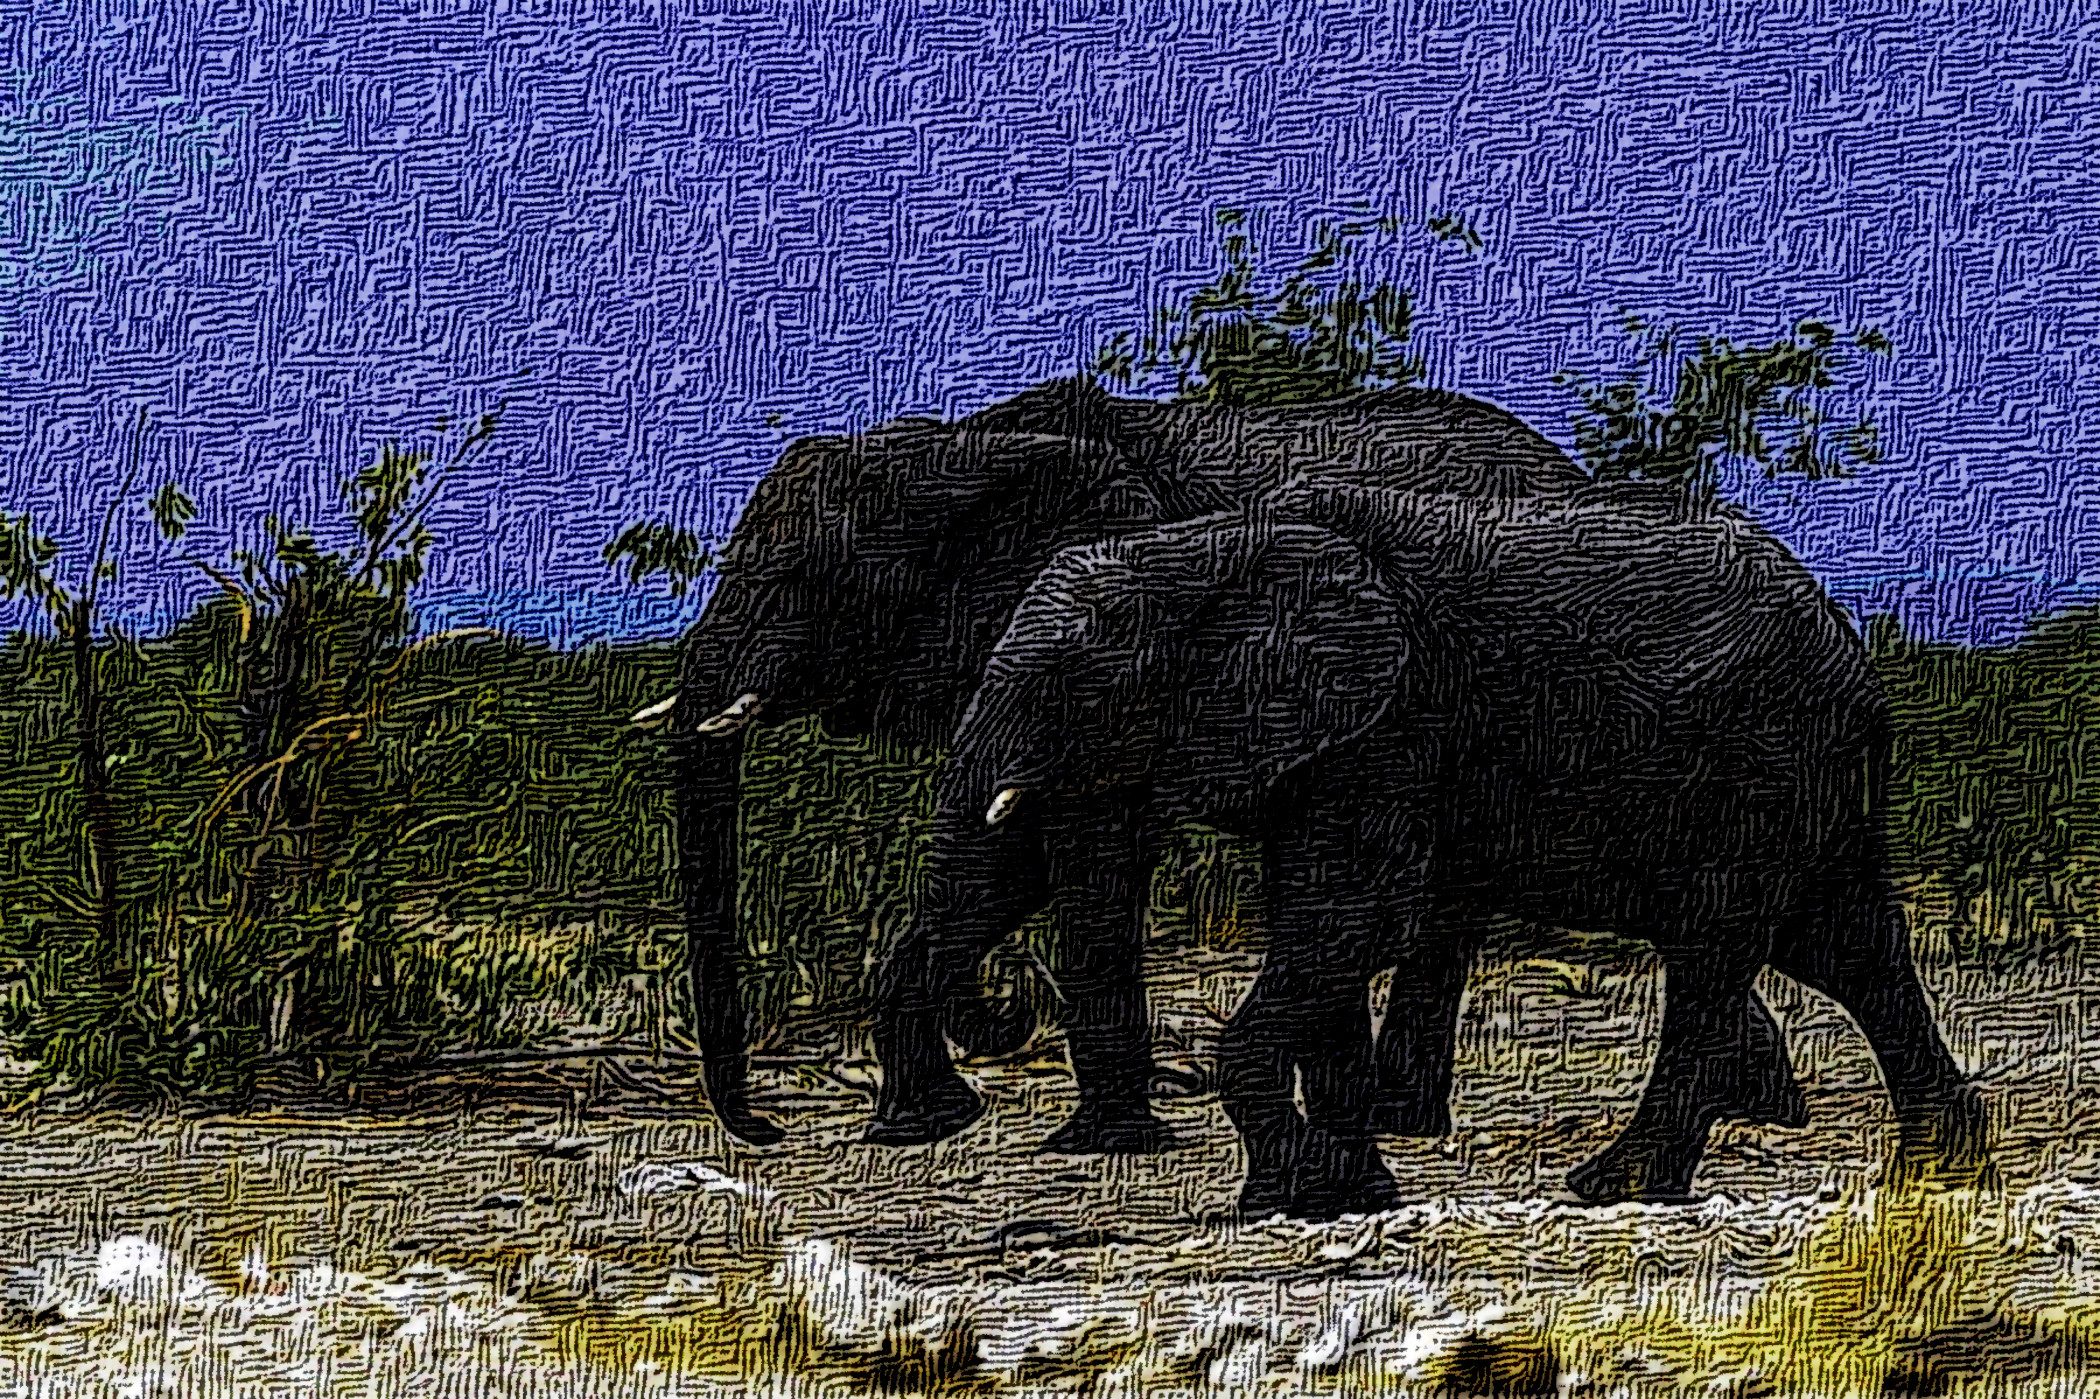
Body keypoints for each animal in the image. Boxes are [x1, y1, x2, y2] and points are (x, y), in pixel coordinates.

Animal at [668, 376, 1604, 1148]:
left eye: (795, 578)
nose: (767, 1131)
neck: (961, 450)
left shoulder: (1100, 653)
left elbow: (1077, 854)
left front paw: (1108, 1138)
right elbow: (1009, 855)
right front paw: (922, 1123)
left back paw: (1393, 1119)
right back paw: (1397, 1119)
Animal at [863, 483, 1989, 1217]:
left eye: (1072, 681)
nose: (1002, 1011)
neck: (1210, 544)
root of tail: (1851, 646)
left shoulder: (1391, 723)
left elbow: (1351, 918)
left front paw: (1287, 1195)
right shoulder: (1328, 743)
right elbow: (1322, 931)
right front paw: (1349, 1194)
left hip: (1760, 764)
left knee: (1720, 953)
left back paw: (1615, 1187)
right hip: (1803, 779)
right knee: (1843, 945)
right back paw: (1943, 1168)